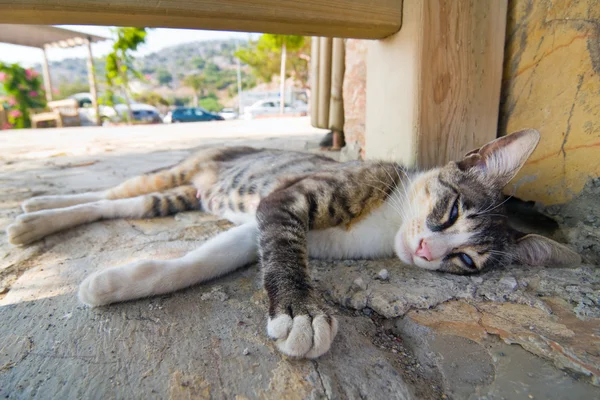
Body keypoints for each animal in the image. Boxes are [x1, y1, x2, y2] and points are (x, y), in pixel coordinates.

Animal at [5, 129, 580, 360]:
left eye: (465, 260)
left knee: (129, 205)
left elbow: (204, 260)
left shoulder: (256, 225)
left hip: (179, 195)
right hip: (185, 167)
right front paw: (303, 313)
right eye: (451, 211)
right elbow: (282, 247)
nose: (425, 253)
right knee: (113, 191)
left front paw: (116, 283)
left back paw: (34, 219)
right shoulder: (287, 198)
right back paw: (35, 208)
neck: (390, 216)